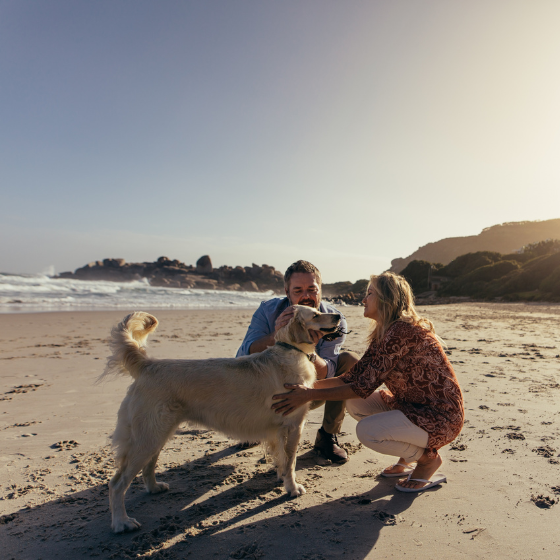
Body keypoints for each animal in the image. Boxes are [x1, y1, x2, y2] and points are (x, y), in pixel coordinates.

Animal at [100, 304, 342, 532]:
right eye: (315, 315)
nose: (339, 315)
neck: (290, 351)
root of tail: (148, 364)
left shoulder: (278, 429)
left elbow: (282, 458)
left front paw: (282, 478)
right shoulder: (293, 425)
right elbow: (291, 460)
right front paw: (292, 488)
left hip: (157, 433)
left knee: (147, 467)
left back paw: (154, 488)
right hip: (148, 437)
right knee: (117, 483)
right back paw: (122, 522)